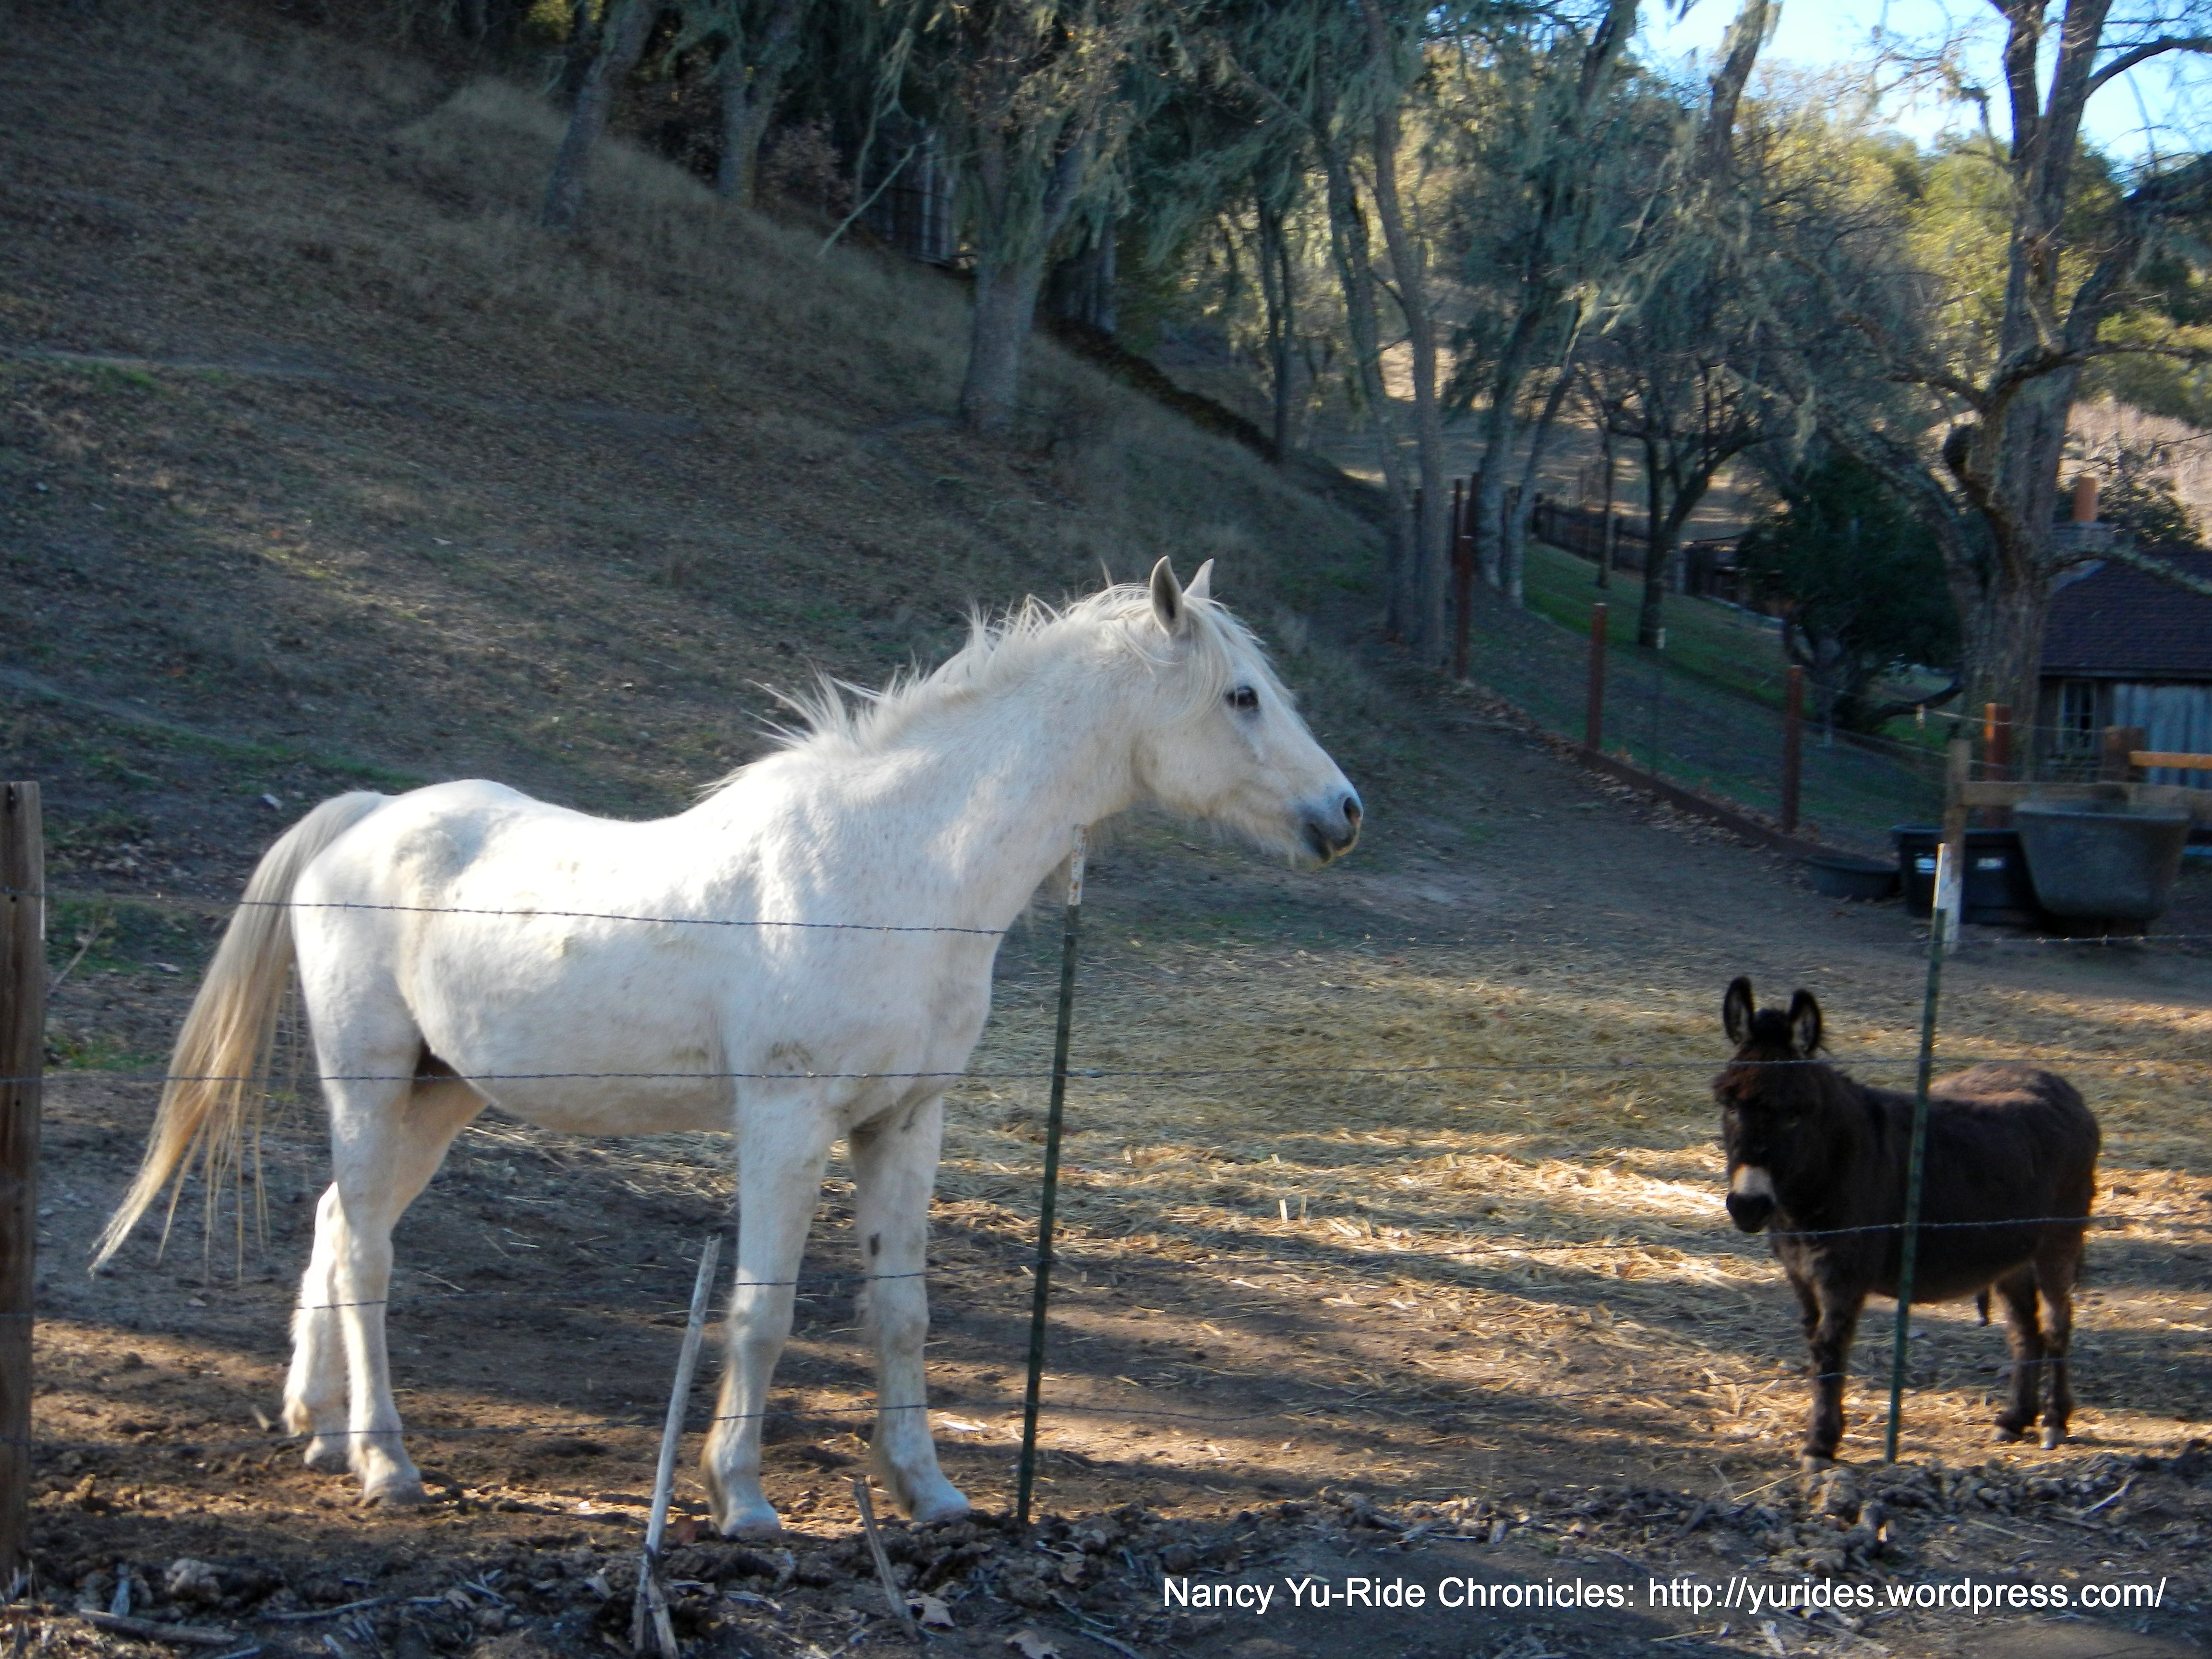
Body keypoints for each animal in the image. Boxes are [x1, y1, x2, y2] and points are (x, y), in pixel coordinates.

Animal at [97, 558, 1362, 1535]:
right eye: (1242, 695)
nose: (1344, 813)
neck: (895, 869)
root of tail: (362, 819)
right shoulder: (786, 1122)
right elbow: (764, 1309)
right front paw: (740, 1498)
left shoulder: (906, 1119)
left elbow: (898, 1309)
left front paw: (931, 1493)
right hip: (368, 1082)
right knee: (365, 1254)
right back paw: (385, 1463)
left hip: (437, 1096)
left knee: (333, 1223)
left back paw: (316, 1428)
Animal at [1713, 977, 2098, 1463]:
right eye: (1729, 1105)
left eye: (1796, 1114)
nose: (1748, 1206)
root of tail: (2063, 1086)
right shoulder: (1799, 1272)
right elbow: (1814, 1342)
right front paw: (1822, 1436)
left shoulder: (1845, 1275)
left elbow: (1830, 1348)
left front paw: (1821, 1444)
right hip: (2012, 1253)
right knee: (2024, 1330)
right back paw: (2014, 1419)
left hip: (2058, 1241)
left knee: (2056, 1324)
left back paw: (2054, 1422)